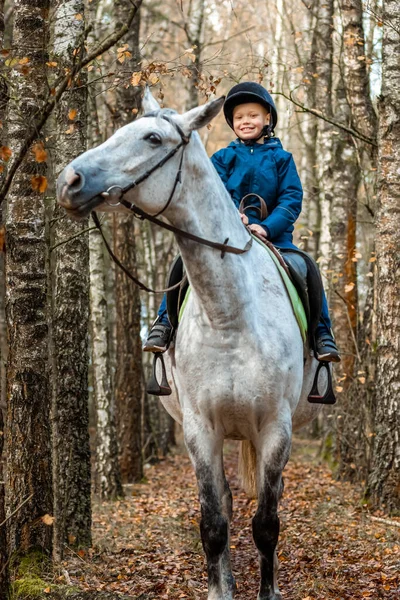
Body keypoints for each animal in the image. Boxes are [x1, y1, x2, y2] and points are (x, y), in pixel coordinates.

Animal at [58, 90, 322, 600]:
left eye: (152, 138)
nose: (69, 181)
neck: (230, 316)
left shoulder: (276, 430)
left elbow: (267, 524)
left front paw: (269, 590)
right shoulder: (200, 431)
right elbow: (214, 524)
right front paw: (221, 588)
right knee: (227, 505)